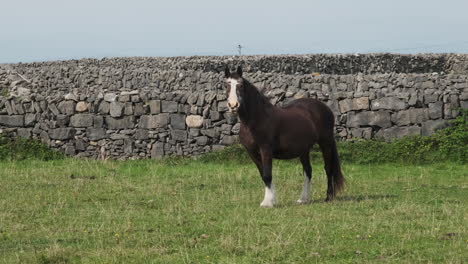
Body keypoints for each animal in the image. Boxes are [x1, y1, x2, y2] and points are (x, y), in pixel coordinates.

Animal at [223, 66, 344, 208]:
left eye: (240, 85)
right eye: (226, 85)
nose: (233, 105)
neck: (256, 120)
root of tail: (325, 108)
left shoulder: (266, 150)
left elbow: (267, 175)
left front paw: (267, 202)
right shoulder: (252, 152)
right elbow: (263, 175)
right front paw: (271, 199)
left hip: (326, 143)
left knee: (328, 168)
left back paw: (329, 197)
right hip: (304, 150)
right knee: (308, 171)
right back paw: (303, 199)